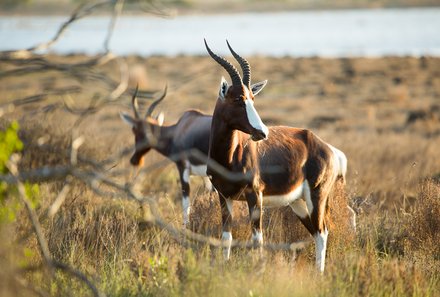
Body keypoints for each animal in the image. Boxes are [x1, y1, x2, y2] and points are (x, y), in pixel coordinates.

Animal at [120, 85, 213, 224]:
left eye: (134, 130)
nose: (134, 160)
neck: (179, 129)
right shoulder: (204, 175)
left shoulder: (183, 169)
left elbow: (185, 203)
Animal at [204, 40, 350, 272]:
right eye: (238, 99)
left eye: (253, 98)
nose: (262, 132)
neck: (230, 155)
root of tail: (328, 148)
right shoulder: (224, 196)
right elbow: (226, 237)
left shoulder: (255, 196)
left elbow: (258, 238)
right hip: (298, 203)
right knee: (316, 231)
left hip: (316, 196)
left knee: (322, 231)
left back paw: (319, 273)